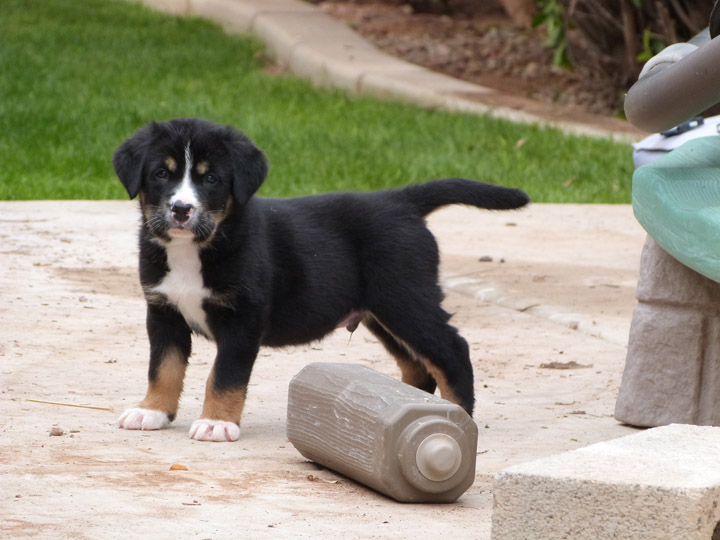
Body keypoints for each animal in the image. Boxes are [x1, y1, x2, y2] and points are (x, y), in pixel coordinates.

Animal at [112, 118, 528, 442]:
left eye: (211, 178)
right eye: (161, 174)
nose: (182, 209)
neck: (194, 249)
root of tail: (400, 200)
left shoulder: (242, 319)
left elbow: (224, 376)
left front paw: (216, 423)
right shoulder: (163, 312)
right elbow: (163, 368)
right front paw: (152, 411)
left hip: (406, 299)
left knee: (453, 351)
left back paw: (456, 415)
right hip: (383, 314)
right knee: (418, 367)